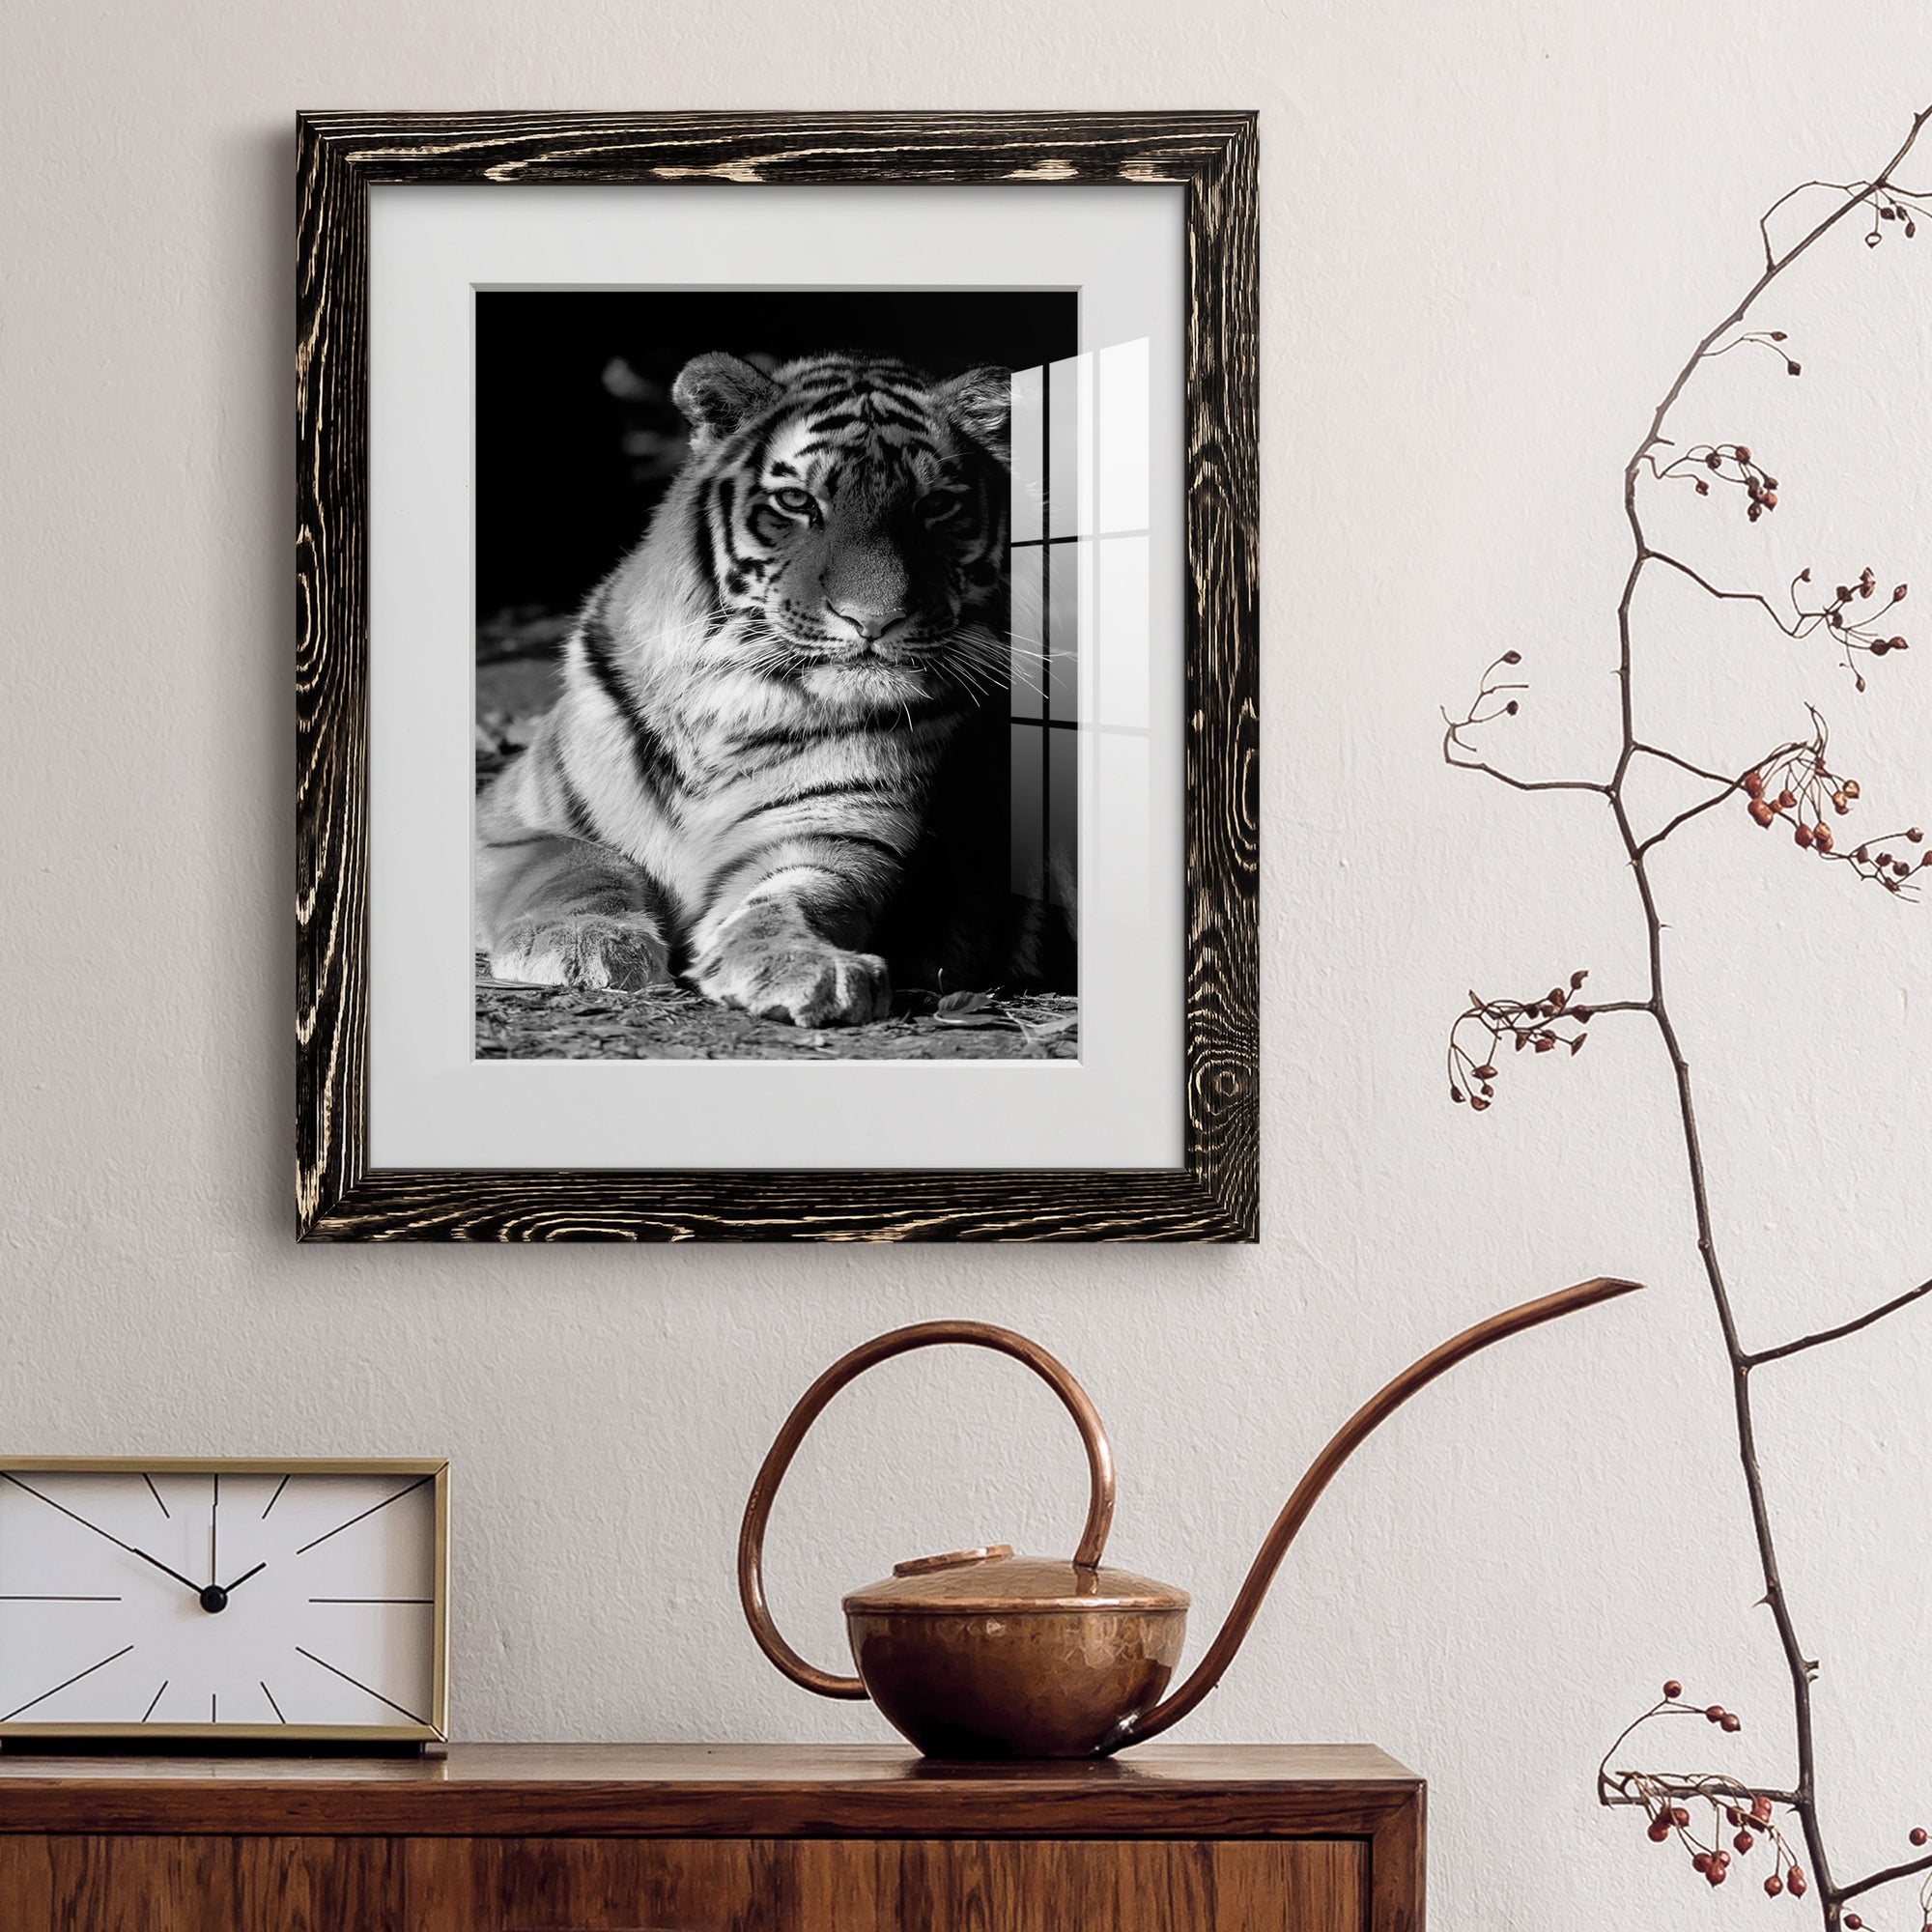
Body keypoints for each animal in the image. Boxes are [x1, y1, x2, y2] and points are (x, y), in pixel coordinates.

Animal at [475, 348, 1072, 1029]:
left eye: (935, 506)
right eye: (796, 501)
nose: (874, 620)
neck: (733, 702)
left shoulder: (834, 836)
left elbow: (793, 898)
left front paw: (802, 964)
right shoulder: (509, 821)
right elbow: (578, 865)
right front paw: (585, 944)